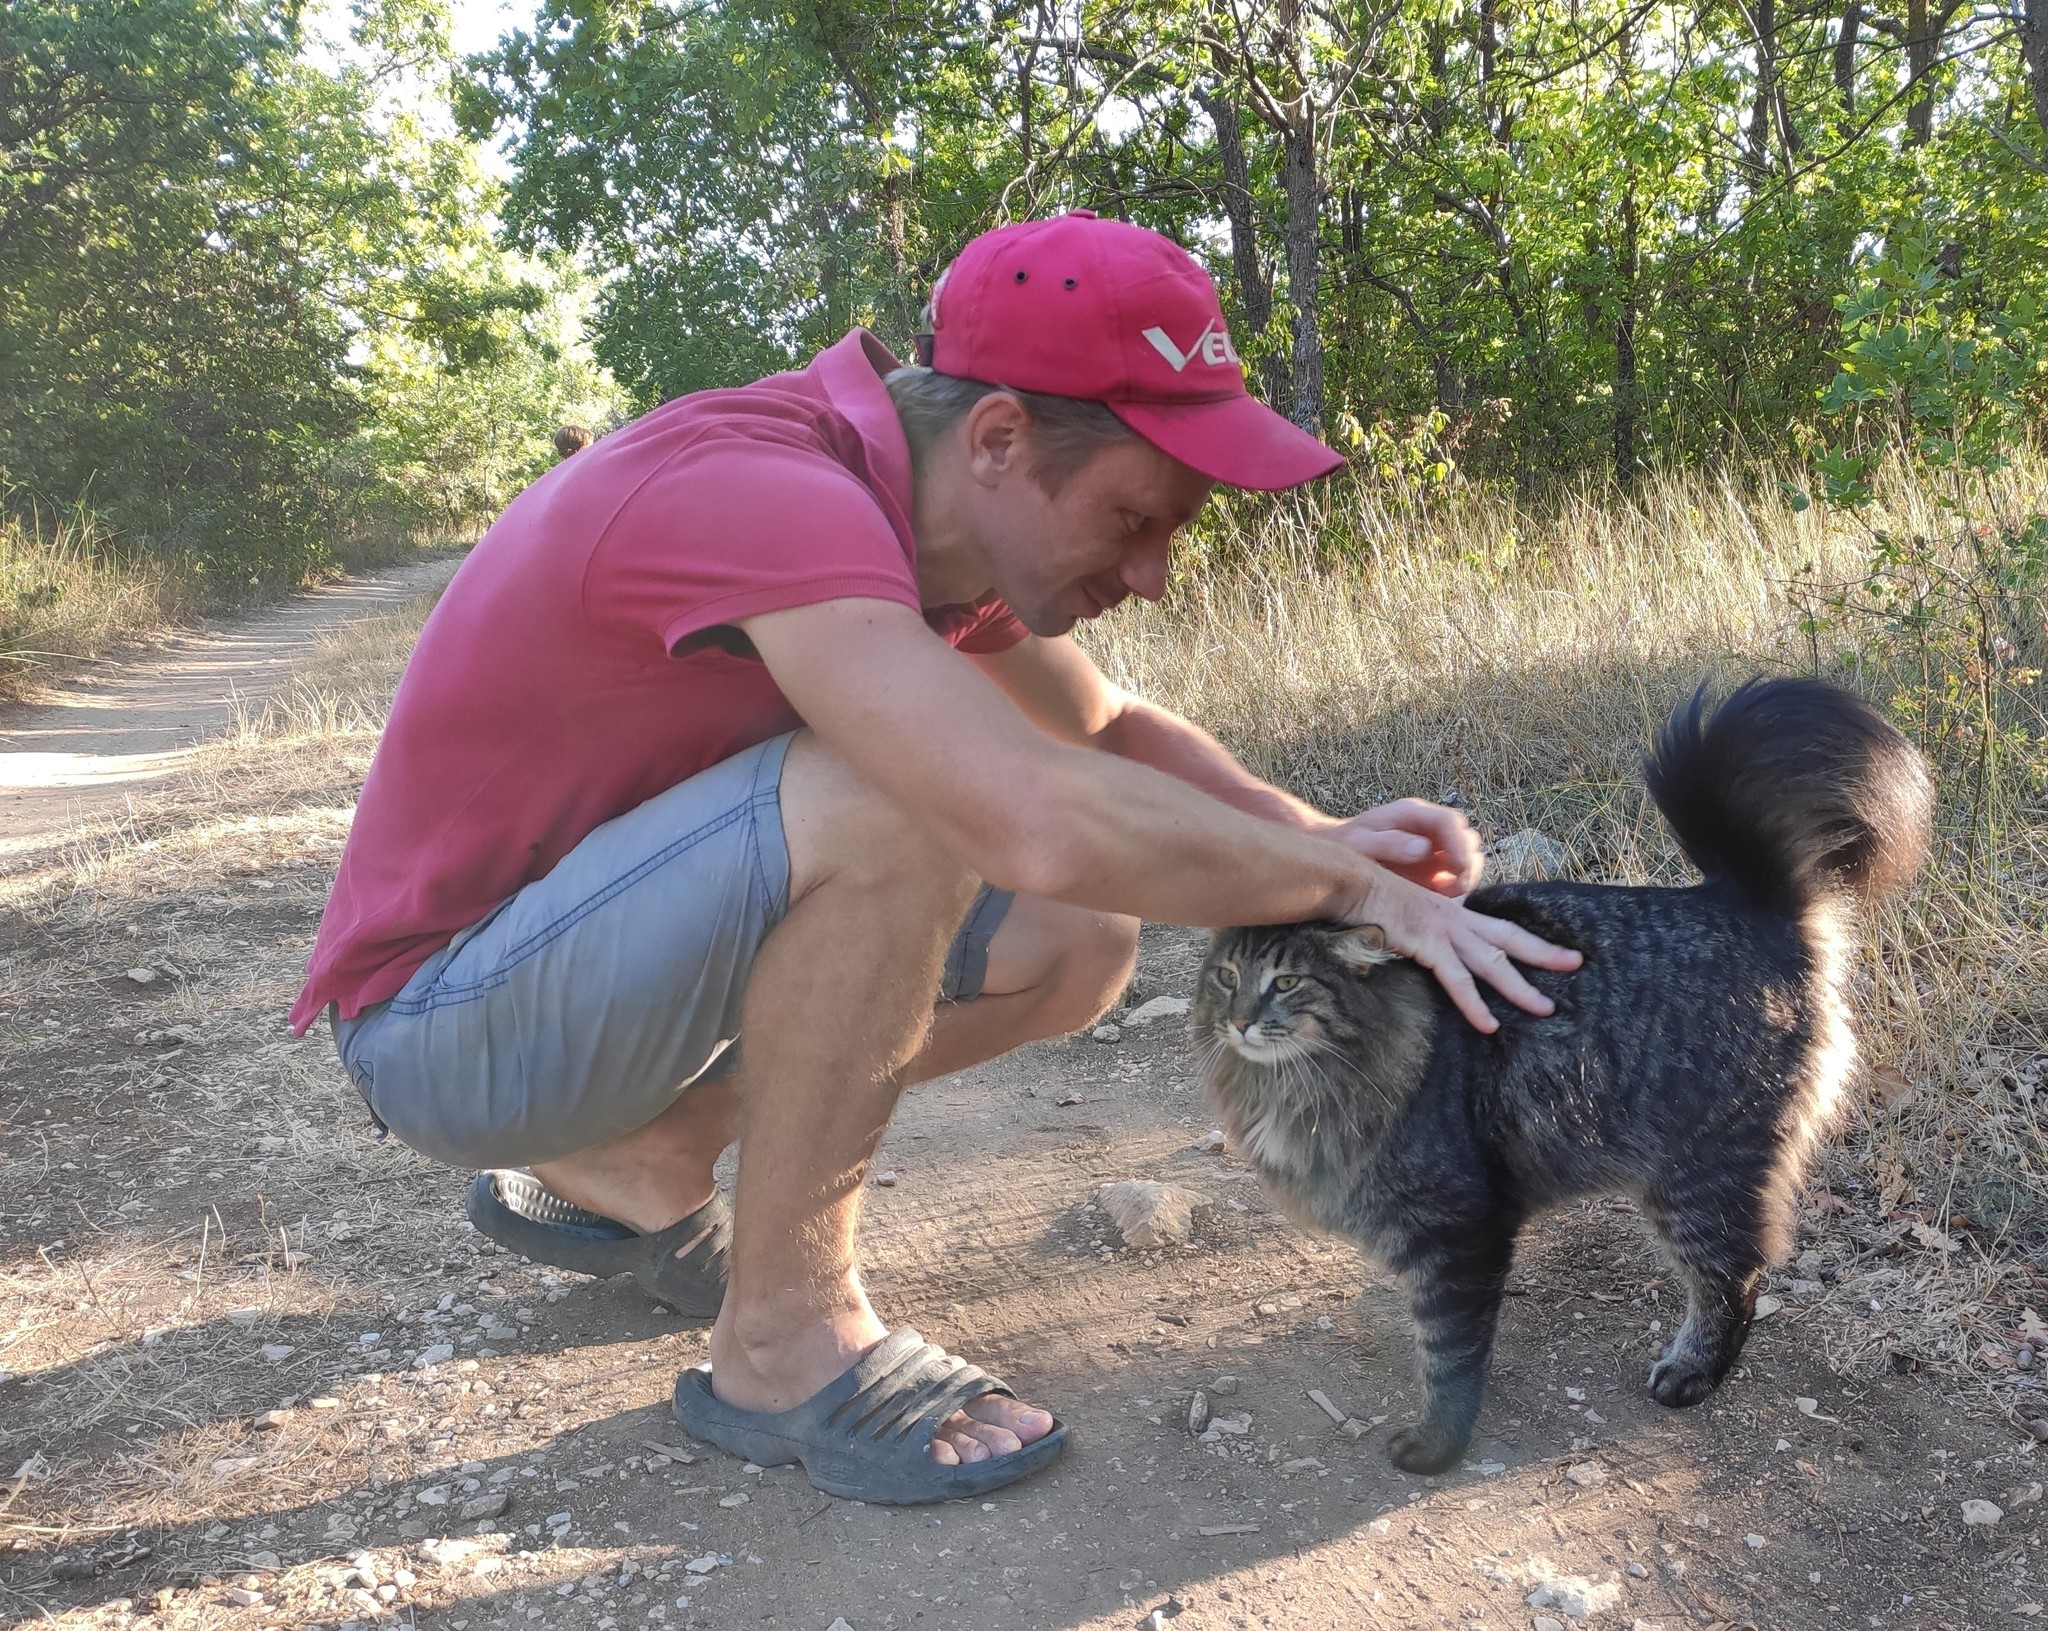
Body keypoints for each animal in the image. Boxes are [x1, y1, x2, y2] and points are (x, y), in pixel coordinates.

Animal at [1196, 680, 1925, 1475]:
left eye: (1288, 981)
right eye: (1227, 975)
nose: (1239, 1020)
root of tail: (1739, 898)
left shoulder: (1459, 1228)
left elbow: (1448, 1353)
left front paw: (1438, 1444)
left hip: (1699, 1174)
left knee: (1737, 1277)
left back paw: (1691, 1372)